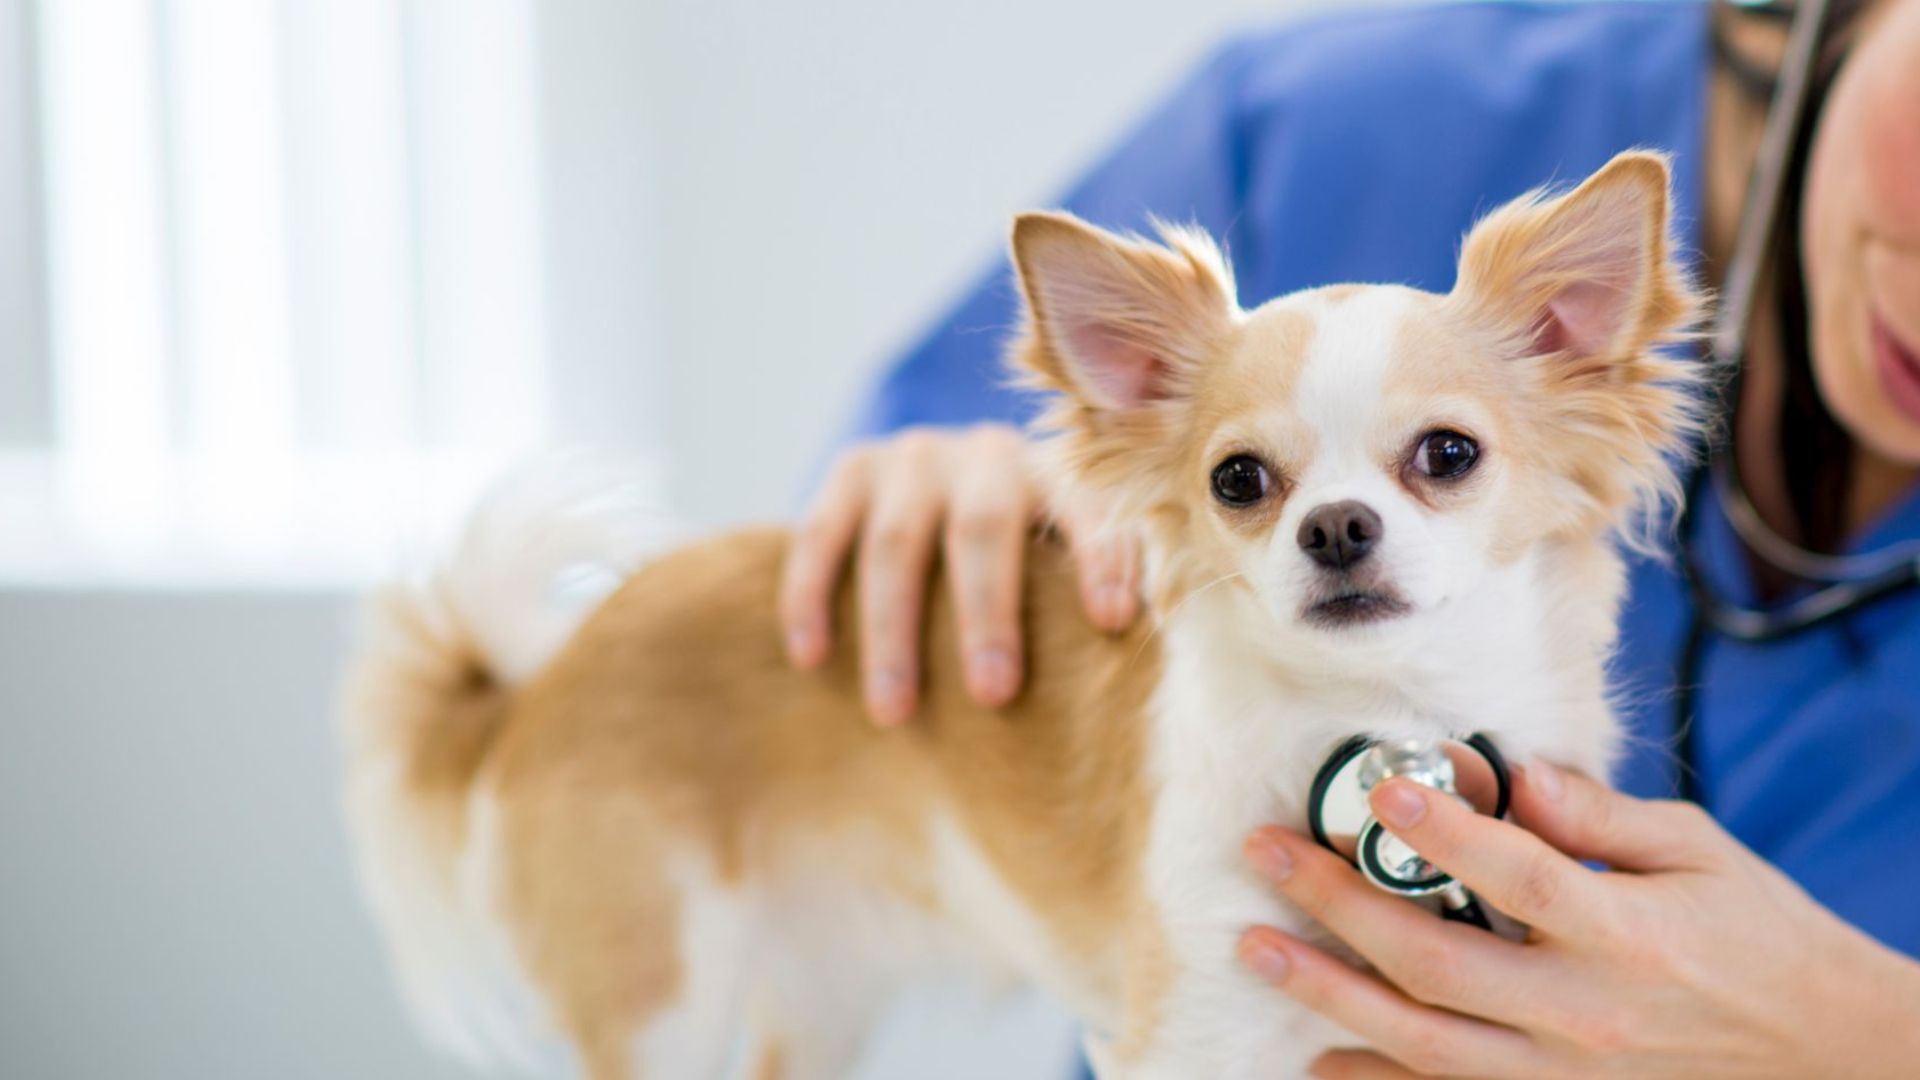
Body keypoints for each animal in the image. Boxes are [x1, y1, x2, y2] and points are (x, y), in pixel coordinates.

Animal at [341, 147, 1697, 1068]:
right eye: (1239, 481)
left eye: (1448, 455)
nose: (1336, 528)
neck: (1385, 718)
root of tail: (538, 678)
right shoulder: (1200, 1021)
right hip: (660, 996)